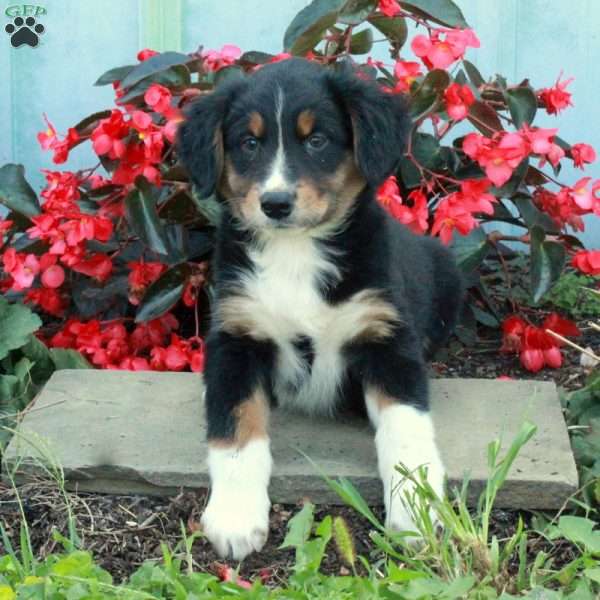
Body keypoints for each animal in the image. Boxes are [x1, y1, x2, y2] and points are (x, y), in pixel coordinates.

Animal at [178, 58, 464, 560]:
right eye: (249, 143)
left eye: (317, 141)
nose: (275, 203)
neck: (296, 252)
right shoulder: (236, 334)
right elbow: (235, 431)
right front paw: (235, 516)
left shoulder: (386, 336)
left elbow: (406, 429)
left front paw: (417, 509)